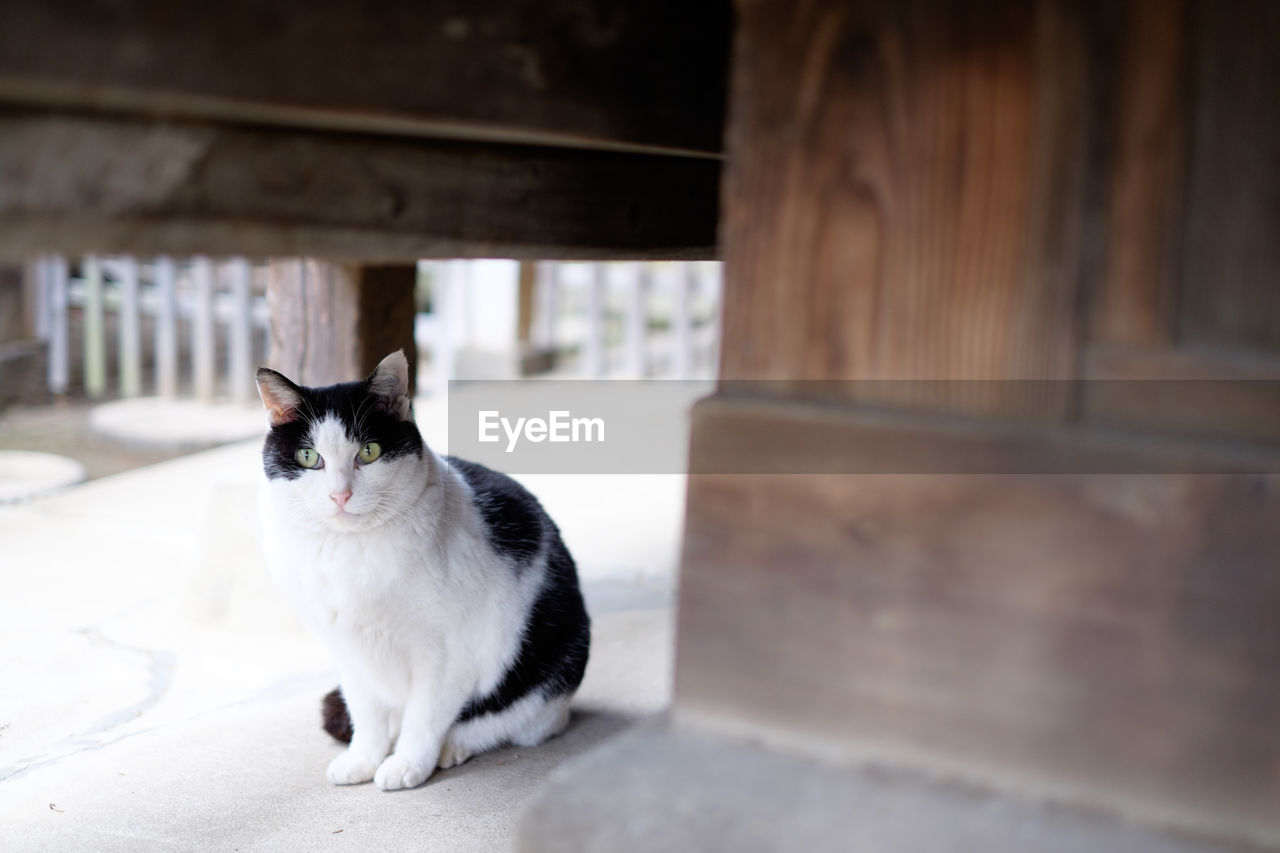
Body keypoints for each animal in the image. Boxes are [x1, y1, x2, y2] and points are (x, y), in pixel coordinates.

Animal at [256, 348, 593, 788]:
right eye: (309, 457)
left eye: (369, 451)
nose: (340, 494)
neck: (351, 553)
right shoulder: (348, 650)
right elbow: (365, 711)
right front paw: (363, 758)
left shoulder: (449, 653)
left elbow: (425, 715)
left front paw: (406, 764)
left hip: (550, 672)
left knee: (521, 721)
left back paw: (454, 746)